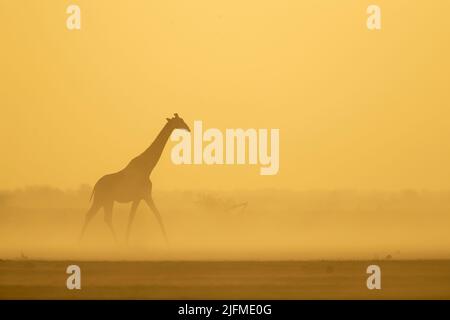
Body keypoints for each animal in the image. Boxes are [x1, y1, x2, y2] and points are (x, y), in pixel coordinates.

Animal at [79, 114, 190, 244]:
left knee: (106, 218)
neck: (147, 168)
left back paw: (116, 242)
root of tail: (96, 185)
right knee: (90, 215)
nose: (188, 128)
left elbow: (141, 217)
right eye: (180, 121)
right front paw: (167, 242)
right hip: (100, 199)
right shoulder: (144, 195)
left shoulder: (142, 197)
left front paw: (126, 241)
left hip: (108, 200)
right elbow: (147, 216)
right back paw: (81, 241)